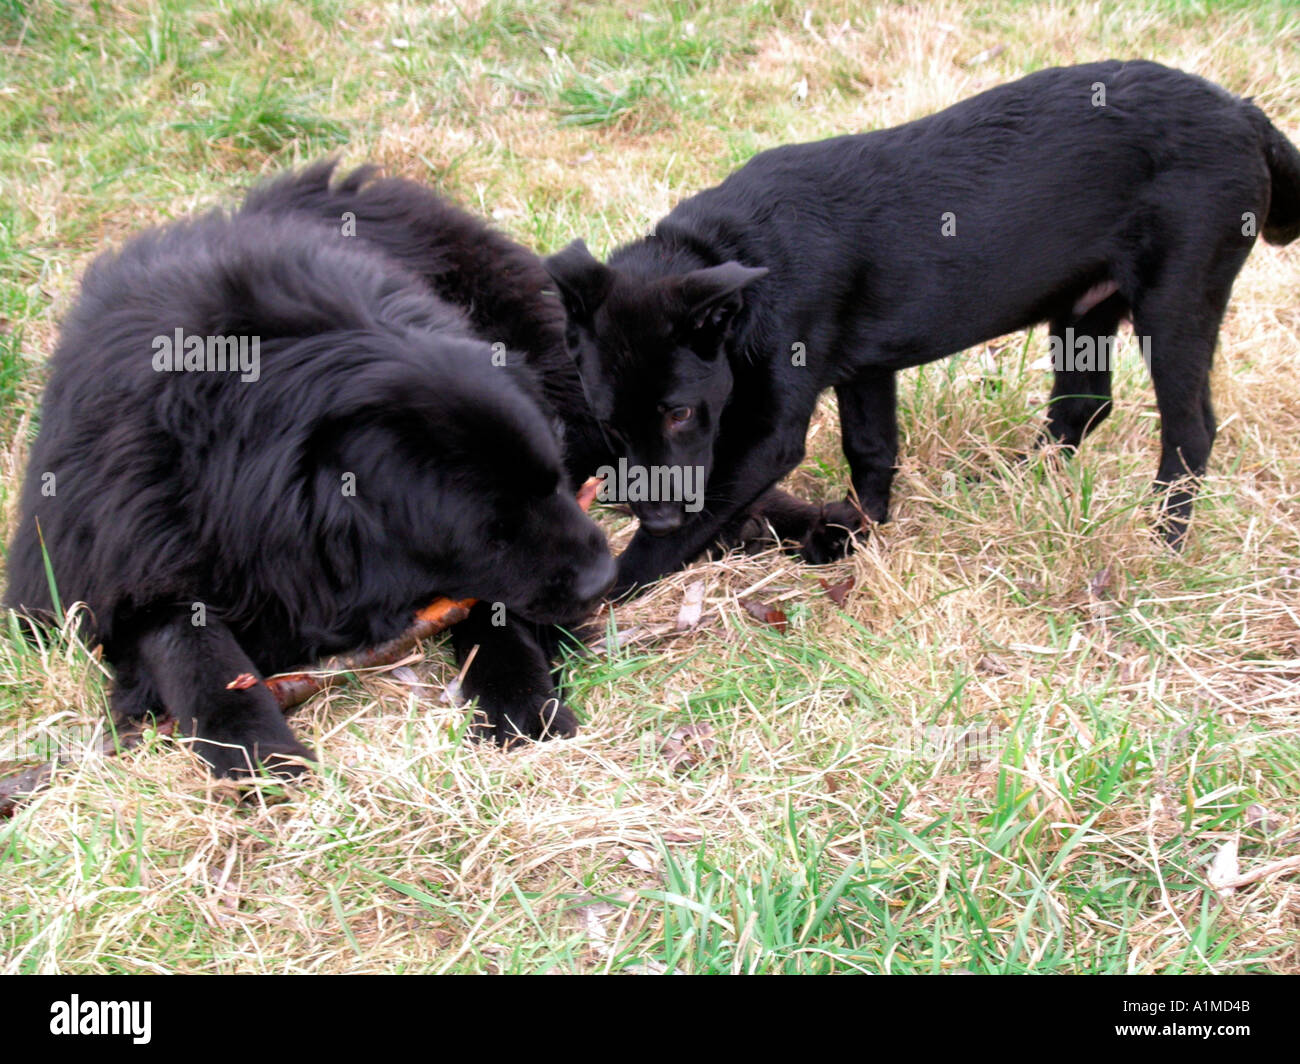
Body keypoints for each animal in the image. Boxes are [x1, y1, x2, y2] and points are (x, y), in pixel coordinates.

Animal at [3, 174, 613, 775]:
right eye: (492, 532)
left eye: (554, 482)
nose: (603, 579)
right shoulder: (121, 553)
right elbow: (187, 645)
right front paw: (257, 751)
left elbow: (494, 612)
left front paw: (522, 702)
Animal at [546, 57, 1300, 593]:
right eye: (610, 423)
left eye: (680, 414)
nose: (654, 512)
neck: (736, 253)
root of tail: (1246, 114)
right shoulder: (864, 371)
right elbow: (872, 451)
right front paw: (859, 535)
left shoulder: (768, 431)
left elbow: (682, 533)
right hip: (1083, 309)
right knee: (1083, 405)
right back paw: (1007, 483)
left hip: (1177, 300)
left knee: (1189, 431)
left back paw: (1161, 542)